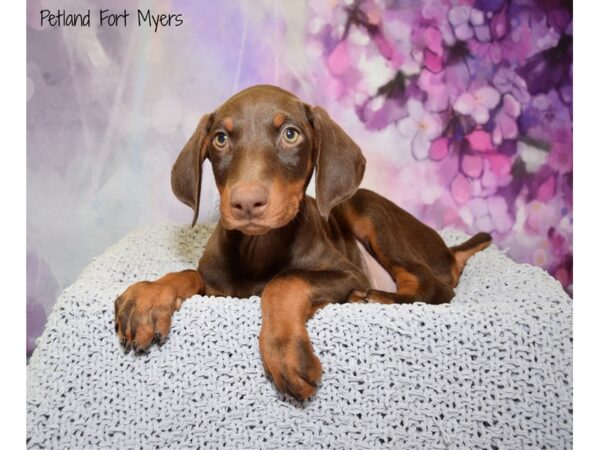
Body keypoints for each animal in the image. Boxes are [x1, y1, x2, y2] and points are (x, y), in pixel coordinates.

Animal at [113, 84, 492, 400]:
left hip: (365, 210)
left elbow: (285, 281)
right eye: (220, 139)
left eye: (290, 134)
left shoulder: (347, 273)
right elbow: (188, 274)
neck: (259, 248)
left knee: (434, 288)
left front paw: (285, 351)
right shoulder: (218, 289)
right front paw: (148, 296)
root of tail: (449, 251)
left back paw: (371, 297)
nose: (246, 202)